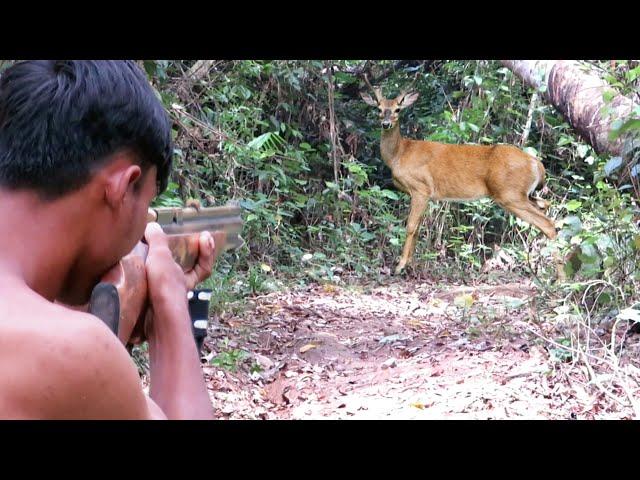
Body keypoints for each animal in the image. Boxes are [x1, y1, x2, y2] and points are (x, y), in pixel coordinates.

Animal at [362, 75, 556, 274]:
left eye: (397, 109)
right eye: (378, 108)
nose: (386, 123)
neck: (400, 154)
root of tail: (537, 164)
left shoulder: (421, 188)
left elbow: (410, 227)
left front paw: (400, 266)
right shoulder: (423, 195)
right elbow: (417, 228)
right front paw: (410, 263)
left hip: (509, 194)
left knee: (548, 224)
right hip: (524, 194)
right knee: (547, 207)